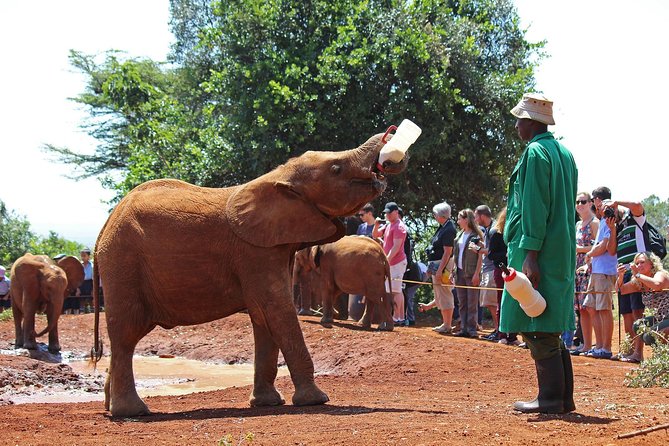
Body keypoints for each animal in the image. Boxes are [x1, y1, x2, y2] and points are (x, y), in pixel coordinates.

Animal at [92, 131, 408, 417]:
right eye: (336, 168)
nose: (392, 136)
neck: (278, 177)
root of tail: (102, 231)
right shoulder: (255, 251)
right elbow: (276, 310)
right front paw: (316, 400)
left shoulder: (272, 248)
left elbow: (264, 317)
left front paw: (268, 403)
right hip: (123, 264)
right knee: (126, 334)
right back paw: (132, 412)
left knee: (127, 338)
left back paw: (110, 407)